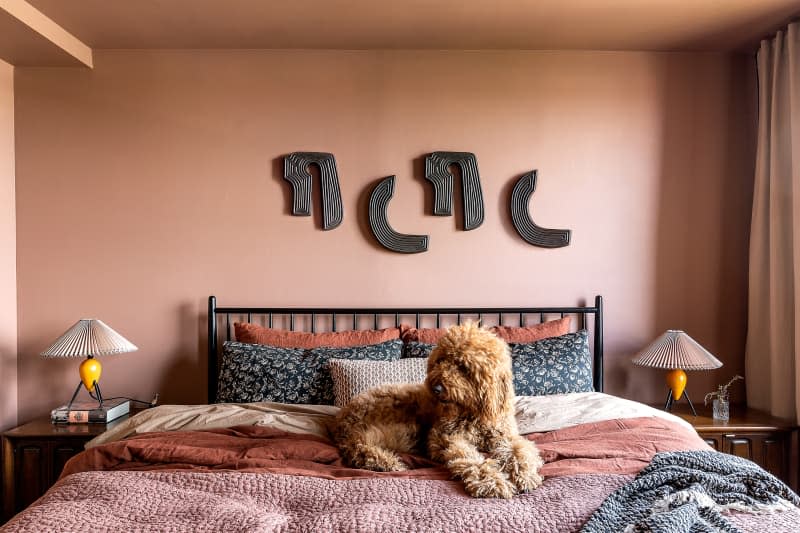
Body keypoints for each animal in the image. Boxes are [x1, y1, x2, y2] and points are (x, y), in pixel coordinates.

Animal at [332, 320, 544, 498]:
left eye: (463, 366)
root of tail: (343, 417)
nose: (436, 388)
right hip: (403, 429)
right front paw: (491, 481)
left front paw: (525, 475)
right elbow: (470, 459)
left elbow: (520, 450)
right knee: (358, 444)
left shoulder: (506, 436)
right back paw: (387, 462)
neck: (472, 413)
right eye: (441, 360)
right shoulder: (447, 438)